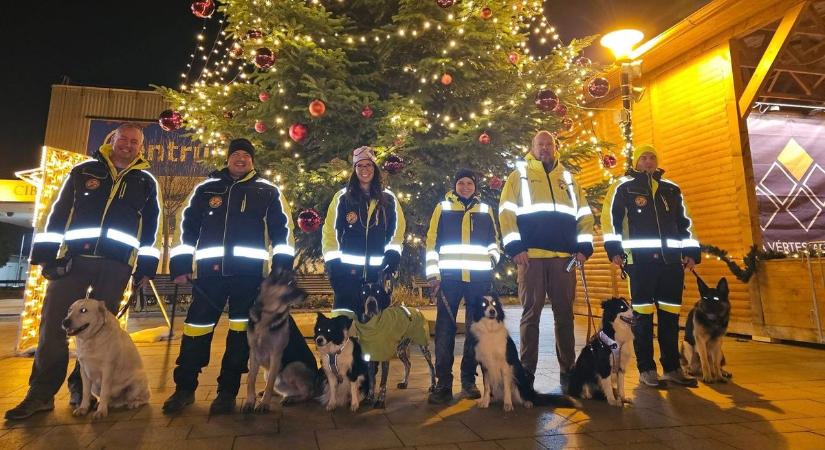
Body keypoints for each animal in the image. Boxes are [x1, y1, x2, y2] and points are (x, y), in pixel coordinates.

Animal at [241, 272, 318, 414]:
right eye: (289, 283)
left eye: (295, 282)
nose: (307, 294)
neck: (268, 313)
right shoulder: (253, 353)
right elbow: (250, 379)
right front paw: (250, 402)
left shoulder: (276, 355)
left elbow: (270, 384)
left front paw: (264, 404)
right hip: (268, 372)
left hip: (293, 366)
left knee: (308, 393)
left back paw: (292, 399)